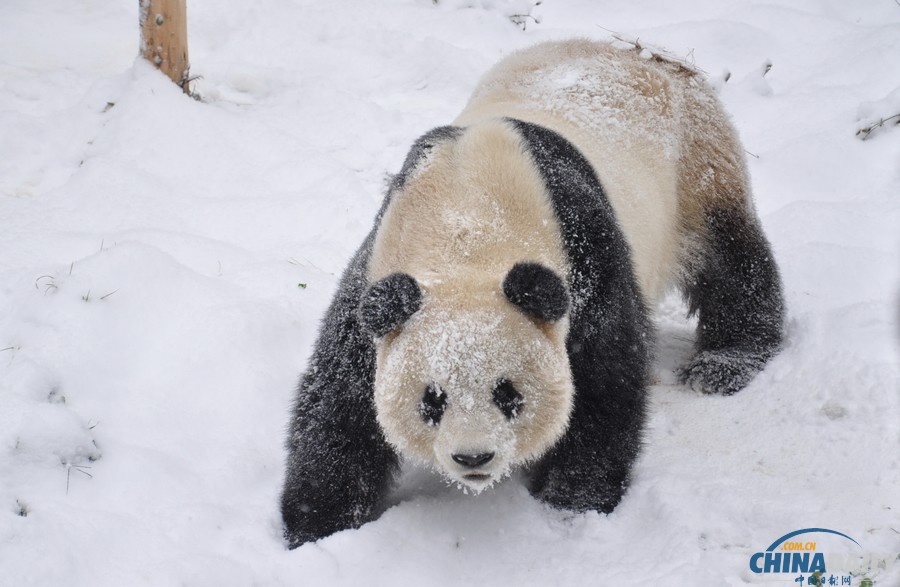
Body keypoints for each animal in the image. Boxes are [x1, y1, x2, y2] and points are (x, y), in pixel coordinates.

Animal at [280, 39, 780, 548]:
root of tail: (641, 54)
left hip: (697, 163)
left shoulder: (584, 252)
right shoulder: (381, 276)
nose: (474, 459)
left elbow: (604, 380)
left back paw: (722, 363)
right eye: (432, 400)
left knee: (730, 258)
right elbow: (341, 401)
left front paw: (573, 499)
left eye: (508, 393)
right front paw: (318, 522)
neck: (467, 222)